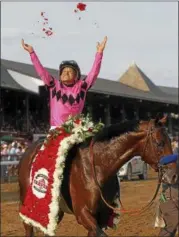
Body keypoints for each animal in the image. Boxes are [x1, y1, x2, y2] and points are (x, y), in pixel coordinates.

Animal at [17, 115, 172, 236]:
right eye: (159, 143)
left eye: (171, 141)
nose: (173, 173)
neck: (97, 168)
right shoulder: (84, 214)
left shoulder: (100, 217)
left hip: (55, 210)